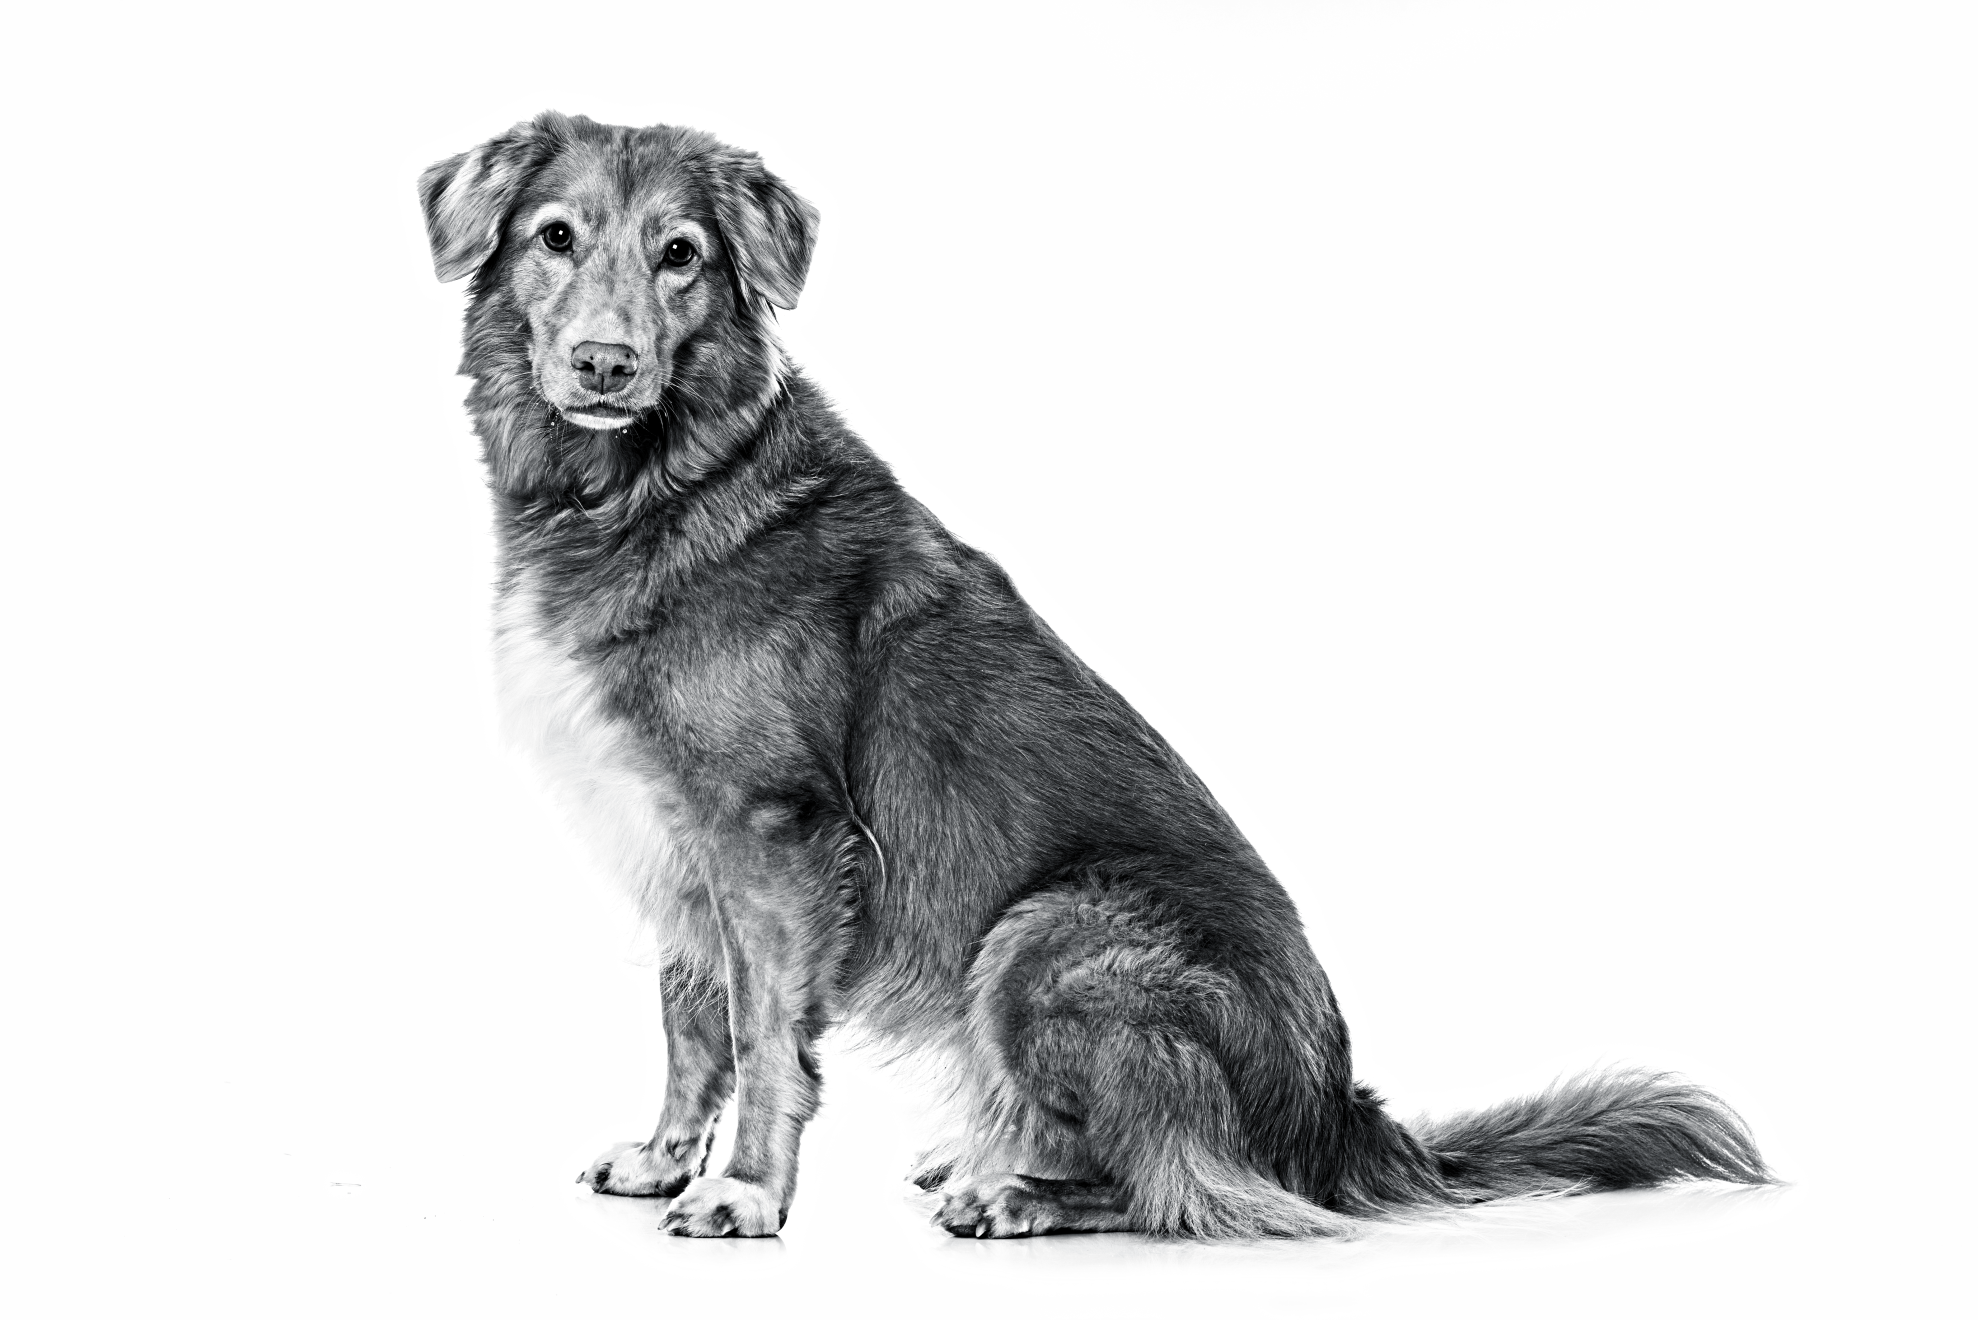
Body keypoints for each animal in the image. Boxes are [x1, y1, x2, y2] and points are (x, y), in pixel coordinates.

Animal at [417, 113, 1780, 1242]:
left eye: (681, 256)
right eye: (555, 238)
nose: (604, 365)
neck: (659, 486)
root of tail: (1335, 1120)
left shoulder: (770, 836)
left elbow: (762, 1036)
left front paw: (744, 1192)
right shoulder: (673, 837)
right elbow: (691, 1015)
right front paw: (665, 1158)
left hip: (1043, 938)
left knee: (1195, 1188)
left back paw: (1012, 1190)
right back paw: (986, 1154)